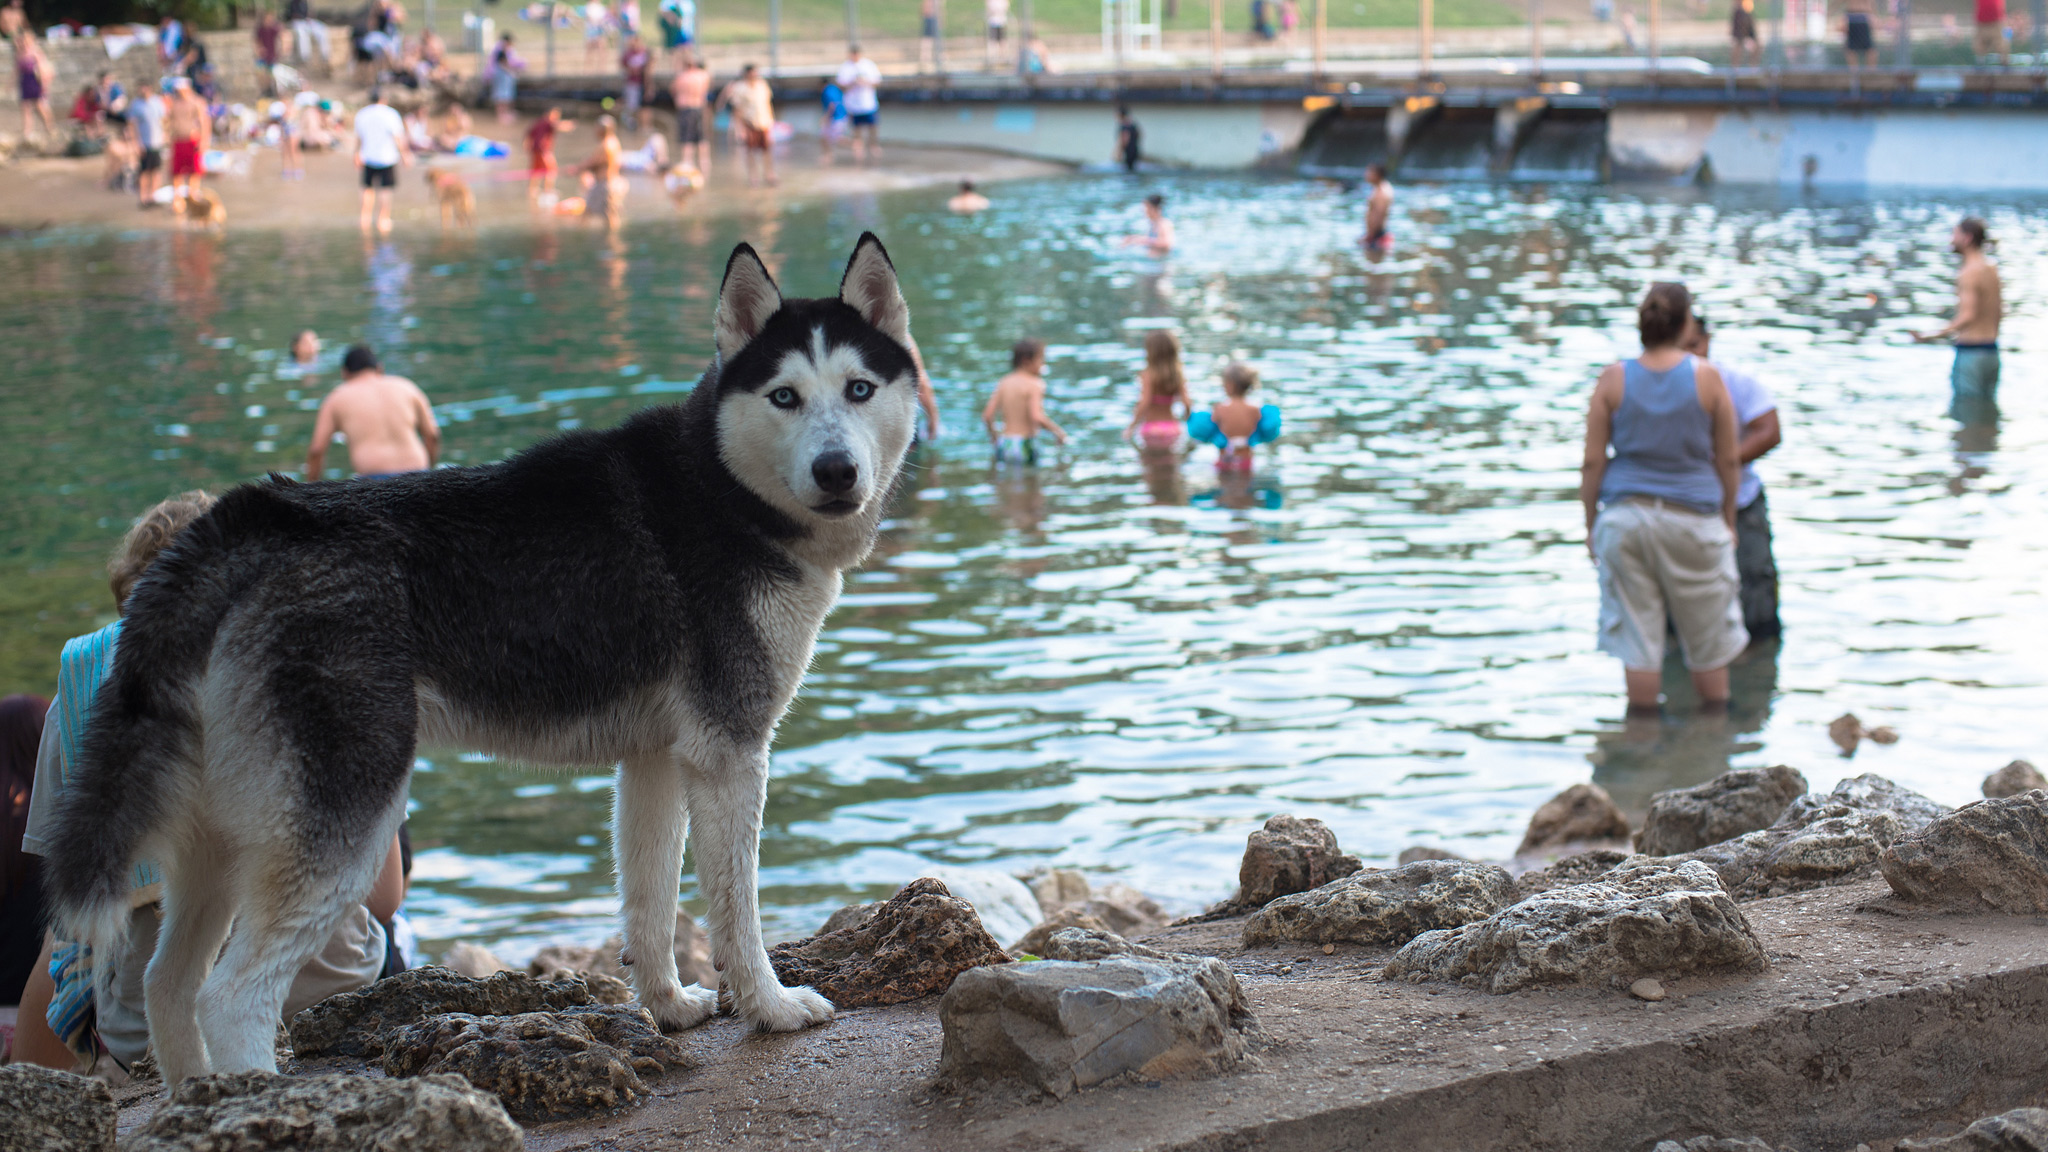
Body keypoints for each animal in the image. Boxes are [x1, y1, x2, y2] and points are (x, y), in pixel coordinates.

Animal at [48, 235, 921, 1082]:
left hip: (222, 842)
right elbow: (737, 913)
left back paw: (202, 1099)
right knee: (231, 996)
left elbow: (648, 903)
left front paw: (668, 1007)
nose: (836, 470)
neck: (722, 488)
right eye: (784, 397)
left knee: (167, 985)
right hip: (346, 825)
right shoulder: (729, 756)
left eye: (859, 389)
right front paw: (770, 1008)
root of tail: (248, 522)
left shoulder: (655, 763)